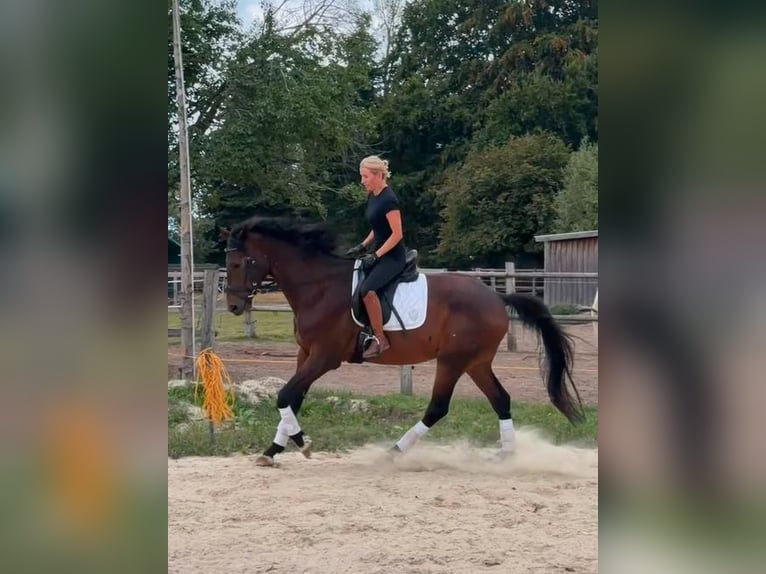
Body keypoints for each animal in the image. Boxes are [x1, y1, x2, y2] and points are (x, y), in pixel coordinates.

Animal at [221, 216, 584, 466]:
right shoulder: (304, 354)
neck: (319, 287)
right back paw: (507, 455)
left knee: (438, 407)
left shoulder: (324, 357)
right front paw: (272, 451)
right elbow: (292, 399)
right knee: (501, 400)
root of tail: (497, 297)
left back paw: (394, 451)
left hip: (452, 361)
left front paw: (302, 443)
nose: (234, 307)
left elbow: (285, 395)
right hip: (476, 362)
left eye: (238, 263)